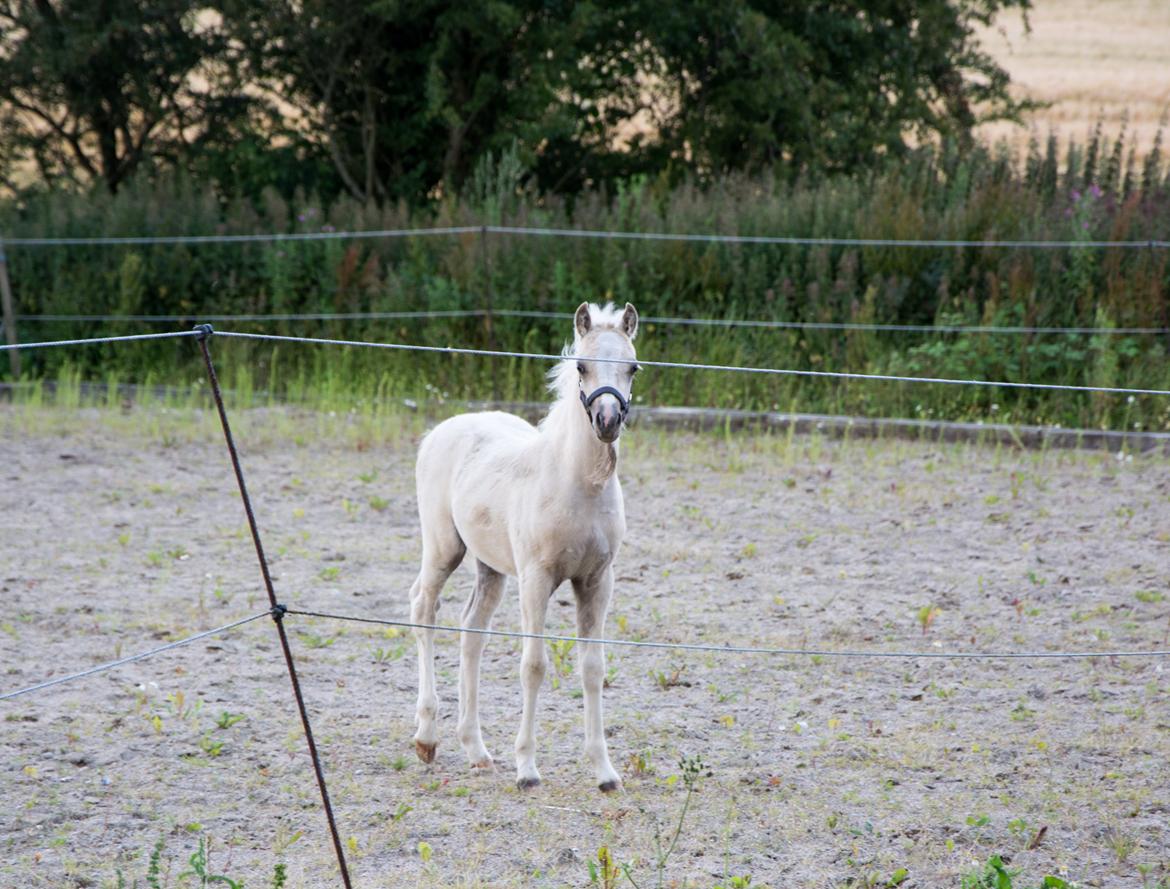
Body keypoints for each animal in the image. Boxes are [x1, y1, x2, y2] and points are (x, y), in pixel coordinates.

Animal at [408, 301, 639, 791]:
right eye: (581, 366)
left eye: (633, 367)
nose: (607, 422)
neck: (578, 485)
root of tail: (444, 429)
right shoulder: (536, 579)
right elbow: (534, 666)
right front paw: (528, 769)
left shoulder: (597, 581)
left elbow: (593, 669)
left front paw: (604, 772)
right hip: (443, 548)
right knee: (423, 610)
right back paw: (427, 738)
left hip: (490, 567)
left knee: (472, 631)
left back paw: (476, 750)